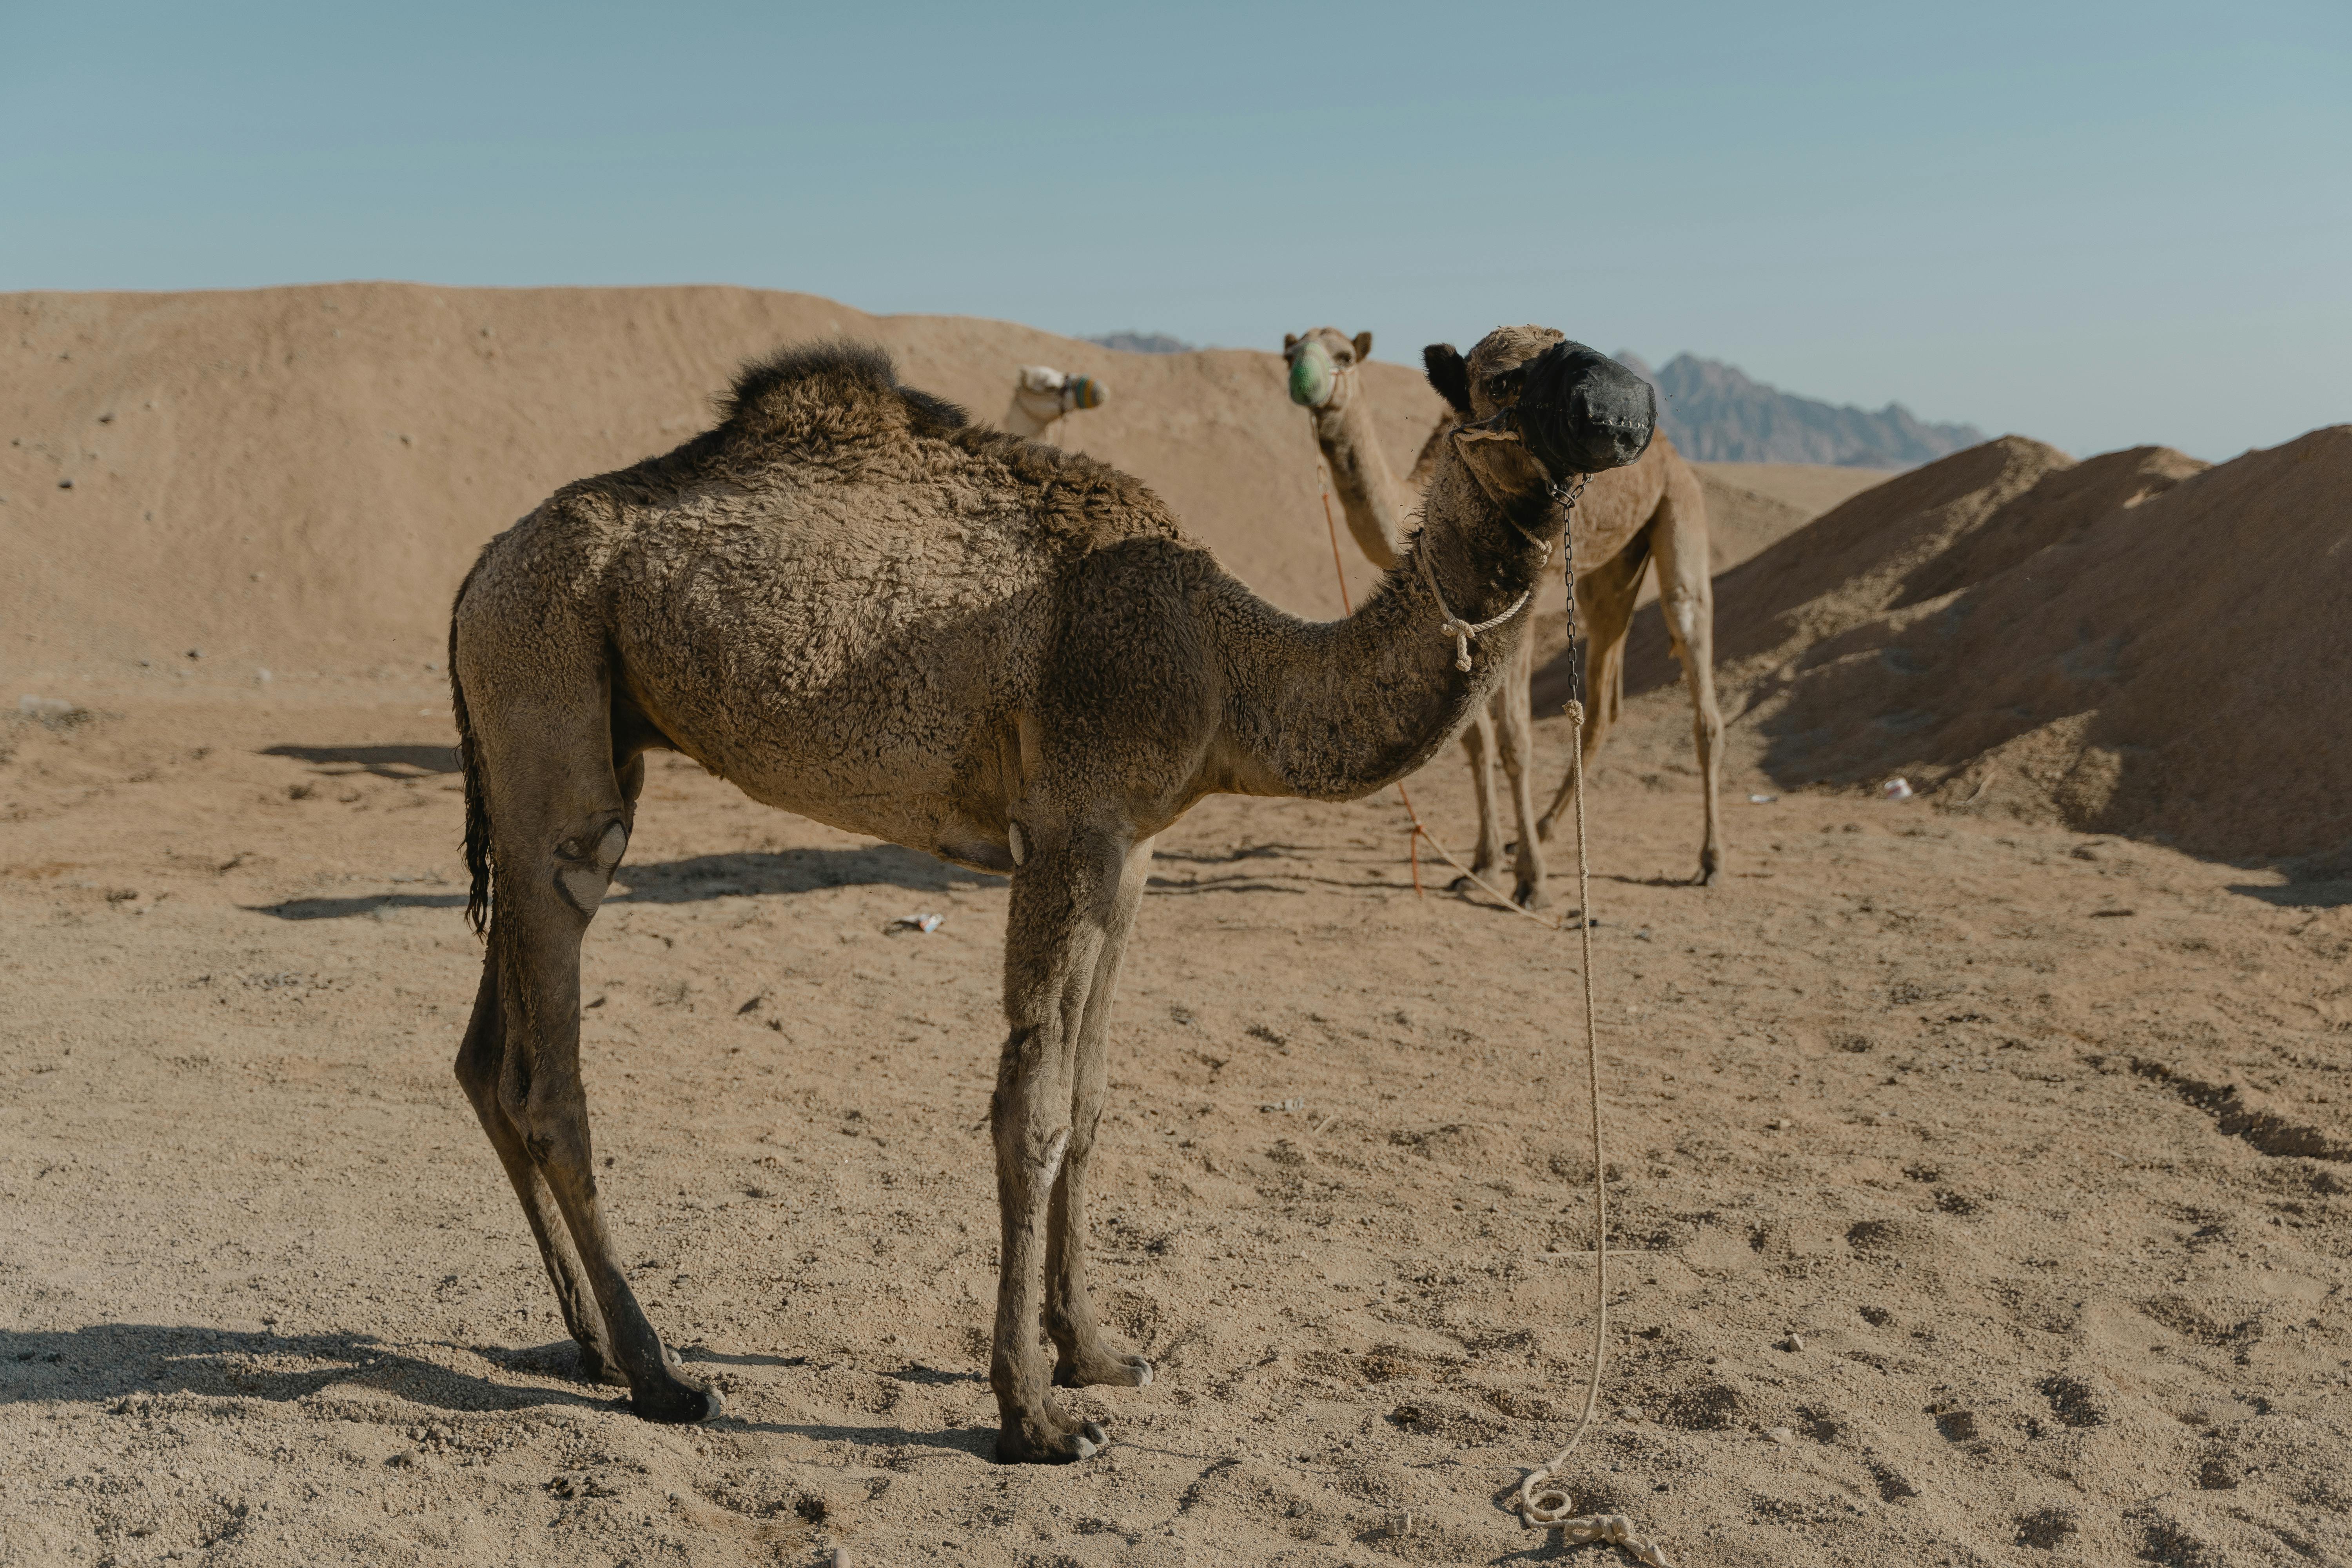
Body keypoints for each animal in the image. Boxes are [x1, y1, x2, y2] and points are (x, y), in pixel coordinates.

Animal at [1282, 327, 1724, 901]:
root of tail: (1672, 456)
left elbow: (1515, 739)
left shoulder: (1519, 613)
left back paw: (1710, 861)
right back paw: (1545, 828)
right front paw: (1485, 862)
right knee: (1604, 699)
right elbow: (1475, 738)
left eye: (1343, 356)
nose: (1303, 382)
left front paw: (1530, 881)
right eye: (1291, 354)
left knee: (1693, 652)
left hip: (1681, 510)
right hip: (1612, 570)